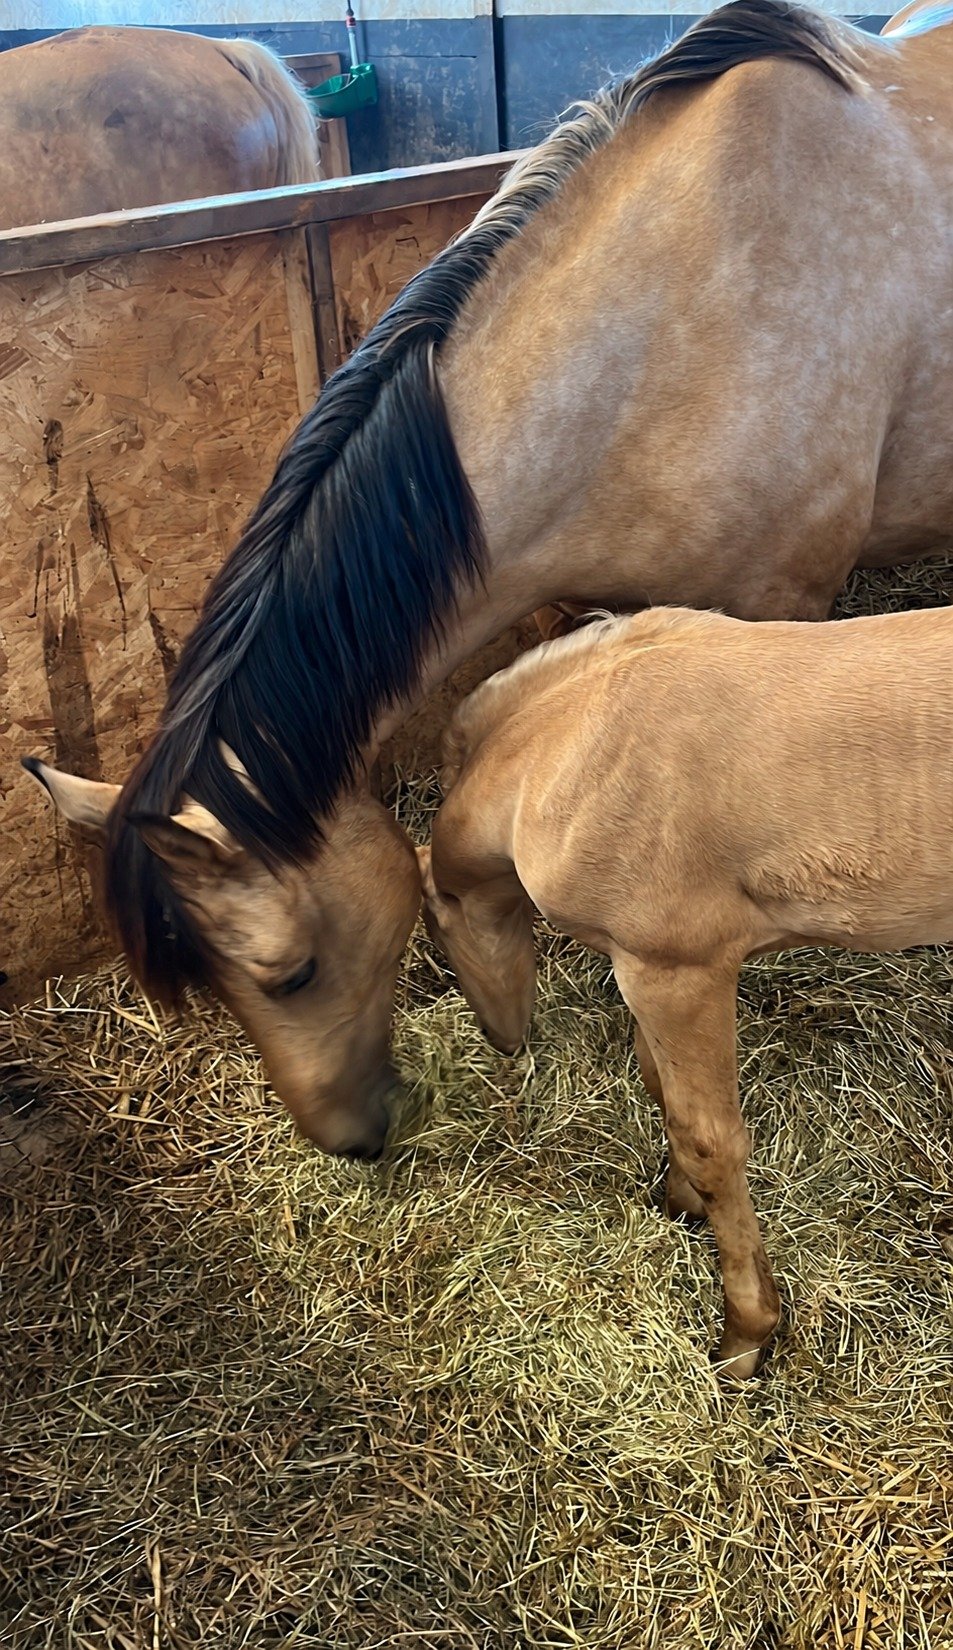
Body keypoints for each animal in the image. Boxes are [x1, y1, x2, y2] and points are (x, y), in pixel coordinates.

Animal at [415, 604, 953, 1378]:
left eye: (435, 926)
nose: (501, 1037)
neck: (564, 754)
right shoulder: (637, 967)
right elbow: (660, 1090)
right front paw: (680, 1202)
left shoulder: (676, 971)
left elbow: (710, 1140)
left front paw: (746, 1333)